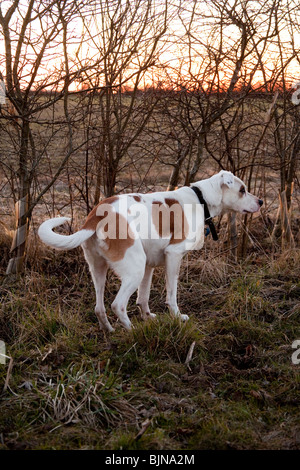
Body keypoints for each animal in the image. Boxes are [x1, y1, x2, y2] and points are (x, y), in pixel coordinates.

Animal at [38, 171, 262, 332]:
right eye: (242, 190)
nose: (260, 202)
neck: (202, 199)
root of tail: (97, 214)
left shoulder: (149, 266)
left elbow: (143, 297)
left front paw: (148, 317)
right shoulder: (173, 256)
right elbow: (171, 294)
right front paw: (177, 317)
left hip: (99, 269)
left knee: (99, 307)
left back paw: (109, 330)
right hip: (134, 269)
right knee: (117, 305)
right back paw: (132, 331)